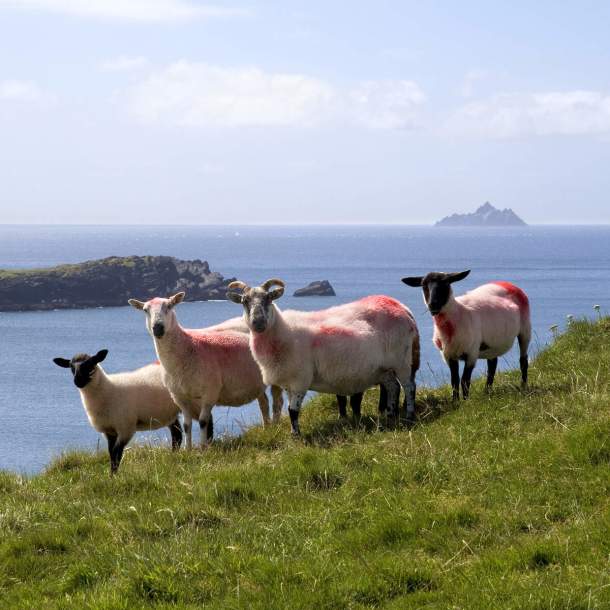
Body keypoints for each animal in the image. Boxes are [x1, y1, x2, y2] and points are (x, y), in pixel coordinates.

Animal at [52, 346, 182, 470]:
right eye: (71, 367)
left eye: (91, 364)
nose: (78, 381)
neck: (109, 389)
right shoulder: (109, 430)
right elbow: (111, 453)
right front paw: (112, 474)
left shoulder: (125, 428)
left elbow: (117, 453)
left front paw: (114, 474)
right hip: (170, 413)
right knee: (177, 435)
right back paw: (173, 457)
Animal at [127, 290, 282, 446]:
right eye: (145, 310)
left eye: (170, 306)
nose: (158, 328)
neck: (187, 348)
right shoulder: (179, 397)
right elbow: (187, 425)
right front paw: (188, 449)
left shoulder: (210, 393)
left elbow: (203, 422)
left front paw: (203, 447)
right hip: (257, 383)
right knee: (264, 403)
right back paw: (266, 429)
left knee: (277, 401)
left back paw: (275, 427)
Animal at [226, 278, 420, 434]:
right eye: (244, 301)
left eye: (268, 298)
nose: (258, 323)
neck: (282, 331)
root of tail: (401, 308)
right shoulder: (288, 382)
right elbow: (288, 408)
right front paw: (293, 431)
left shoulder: (300, 379)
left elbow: (293, 411)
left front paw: (296, 436)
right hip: (384, 368)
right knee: (393, 387)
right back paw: (390, 415)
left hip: (402, 360)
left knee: (409, 386)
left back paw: (409, 416)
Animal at [400, 270, 528, 400]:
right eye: (424, 285)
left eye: (445, 283)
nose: (433, 305)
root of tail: (506, 283)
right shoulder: (448, 355)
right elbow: (454, 381)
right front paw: (455, 401)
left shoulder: (472, 353)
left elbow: (465, 381)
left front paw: (466, 400)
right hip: (492, 344)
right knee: (492, 365)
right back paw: (487, 392)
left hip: (525, 329)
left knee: (523, 360)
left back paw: (523, 386)